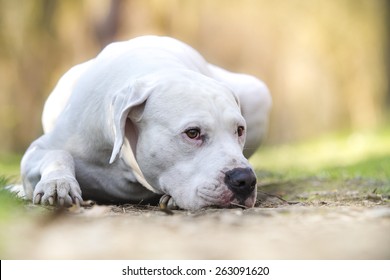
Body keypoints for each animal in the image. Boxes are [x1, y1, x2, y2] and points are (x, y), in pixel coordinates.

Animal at [20, 35, 272, 210]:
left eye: (239, 130)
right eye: (192, 133)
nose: (245, 179)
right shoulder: (38, 151)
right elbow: (58, 154)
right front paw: (57, 183)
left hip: (257, 92)